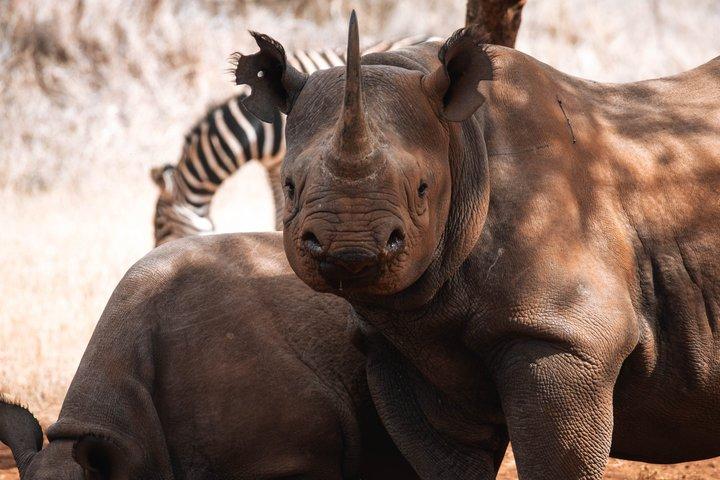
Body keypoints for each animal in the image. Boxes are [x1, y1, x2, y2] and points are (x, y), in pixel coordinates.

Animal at [234, 12, 720, 480]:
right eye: (290, 187)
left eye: (423, 189)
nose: (350, 250)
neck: (463, 146)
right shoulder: (405, 350)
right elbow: (445, 460)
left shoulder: (563, 335)